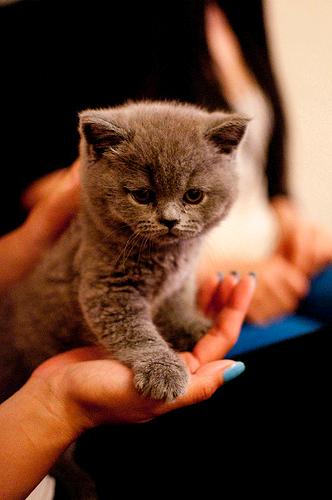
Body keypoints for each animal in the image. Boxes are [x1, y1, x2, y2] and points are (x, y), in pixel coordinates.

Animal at [1, 99, 248, 404]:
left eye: (193, 196)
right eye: (142, 195)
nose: (169, 220)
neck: (166, 256)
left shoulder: (179, 282)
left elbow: (177, 304)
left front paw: (191, 326)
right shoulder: (108, 287)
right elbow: (136, 333)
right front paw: (162, 371)